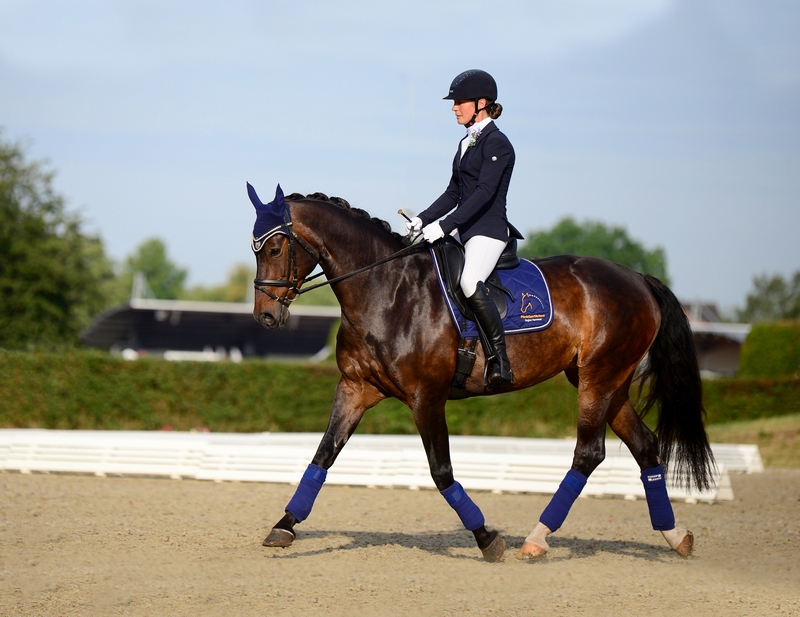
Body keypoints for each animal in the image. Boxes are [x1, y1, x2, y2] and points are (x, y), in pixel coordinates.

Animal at [249, 183, 715, 562]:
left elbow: (441, 472)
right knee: (646, 445)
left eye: (274, 249)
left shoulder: (426, 397)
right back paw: (676, 536)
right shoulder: (355, 388)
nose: (266, 316)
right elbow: (322, 455)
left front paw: (487, 538)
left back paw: (537, 539)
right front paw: (283, 526)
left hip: (598, 379)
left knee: (588, 453)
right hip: (606, 382)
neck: (384, 290)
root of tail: (637, 278)